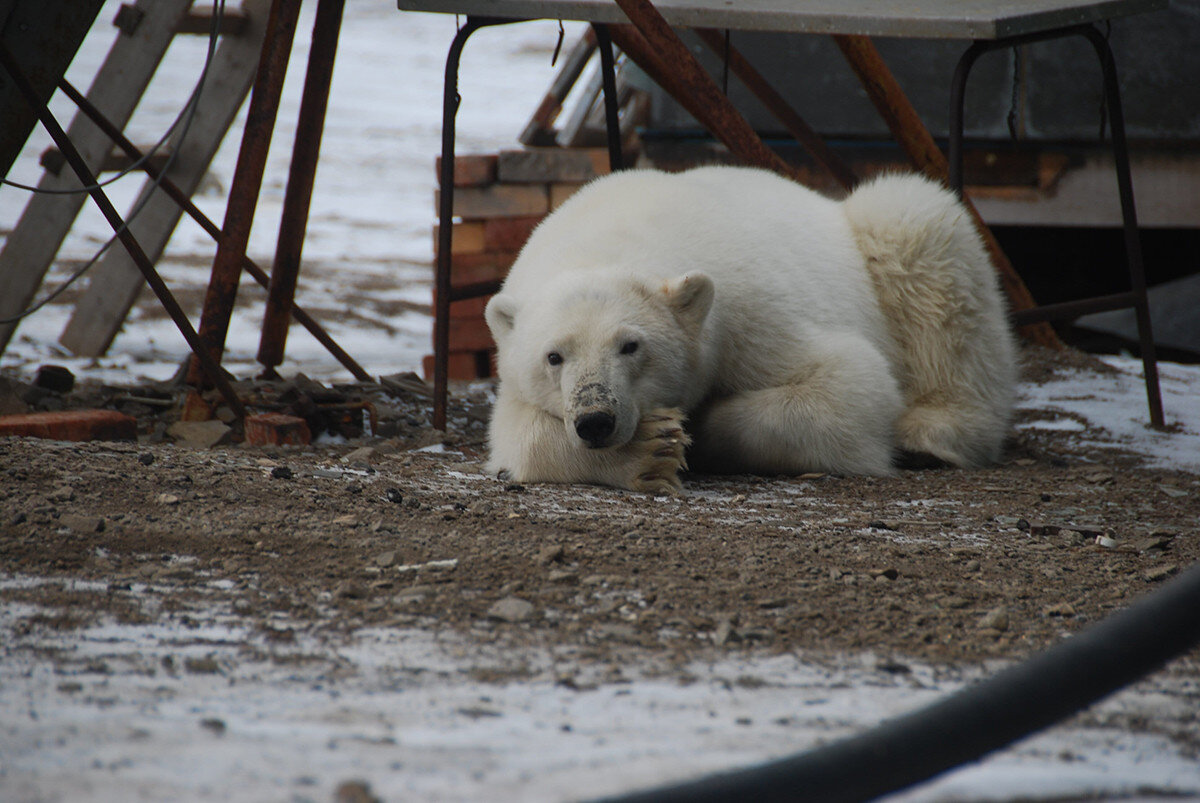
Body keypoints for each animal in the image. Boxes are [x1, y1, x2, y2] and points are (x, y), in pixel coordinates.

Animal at [482, 165, 1017, 492]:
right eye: (554, 356)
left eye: (630, 345)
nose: (596, 420)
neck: (616, 236)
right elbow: (517, 433)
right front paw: (650, 450)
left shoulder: (749, 314)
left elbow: (851, 384)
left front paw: (698, 427)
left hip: (895, 247)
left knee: (918, 228)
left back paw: (930, 433)